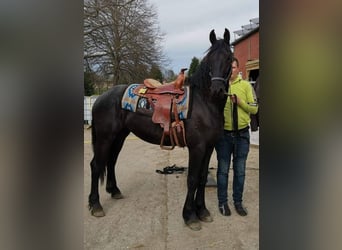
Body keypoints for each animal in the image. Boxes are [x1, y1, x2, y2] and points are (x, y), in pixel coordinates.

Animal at [88, 28, 232, 230]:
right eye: (209, 59)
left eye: (228, 57)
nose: (217, 90)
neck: (204, 103)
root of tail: (100, 98)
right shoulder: (197, 148)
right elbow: (193, 179)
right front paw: (190, 216)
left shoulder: (209, 147)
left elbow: (203, 178)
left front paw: (202, 211)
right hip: (104, 137)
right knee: (96, 165)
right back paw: (95, 205)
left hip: (119, 136)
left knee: (111, 161)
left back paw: (114, 190)